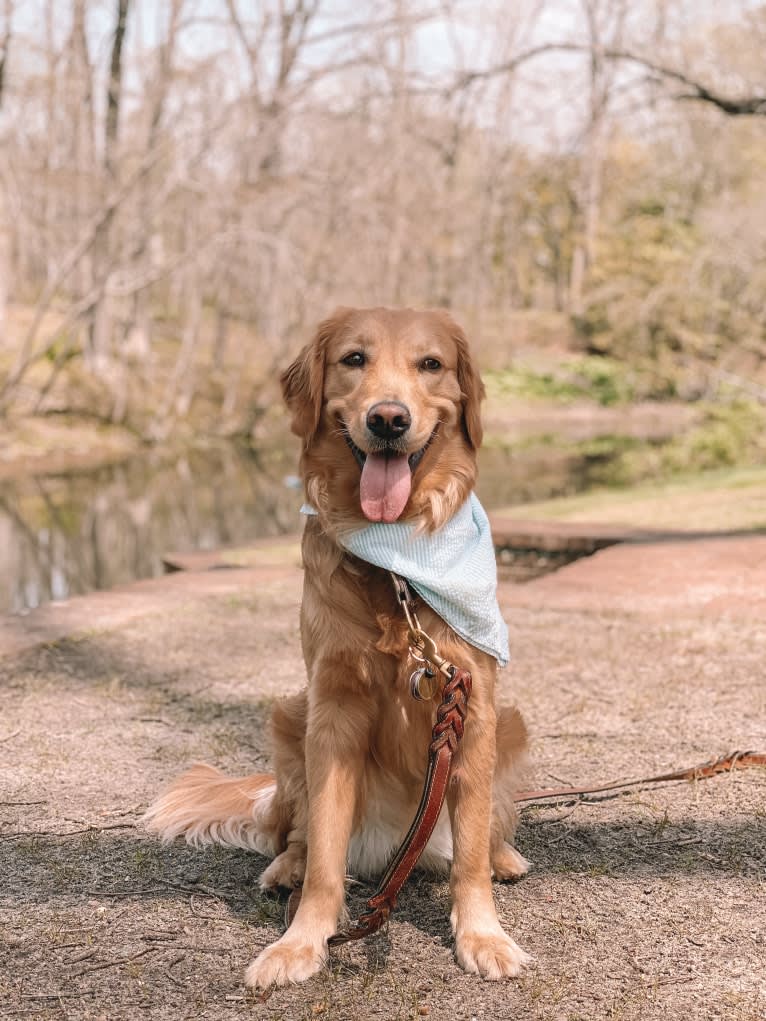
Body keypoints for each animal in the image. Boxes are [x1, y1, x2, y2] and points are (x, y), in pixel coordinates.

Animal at [148, 306, 535, 984]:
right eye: (354, 359)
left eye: (430, 364)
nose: (388, 419)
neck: (399, 561)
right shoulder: (331, 713)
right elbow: (327, 856)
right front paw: (301, 941)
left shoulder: (474, 706)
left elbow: (468, 859)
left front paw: (482, 935)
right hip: (289, 718)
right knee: (298, 834)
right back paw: (285, 867)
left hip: (509, 725)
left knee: (478, 833)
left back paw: (503, 854)